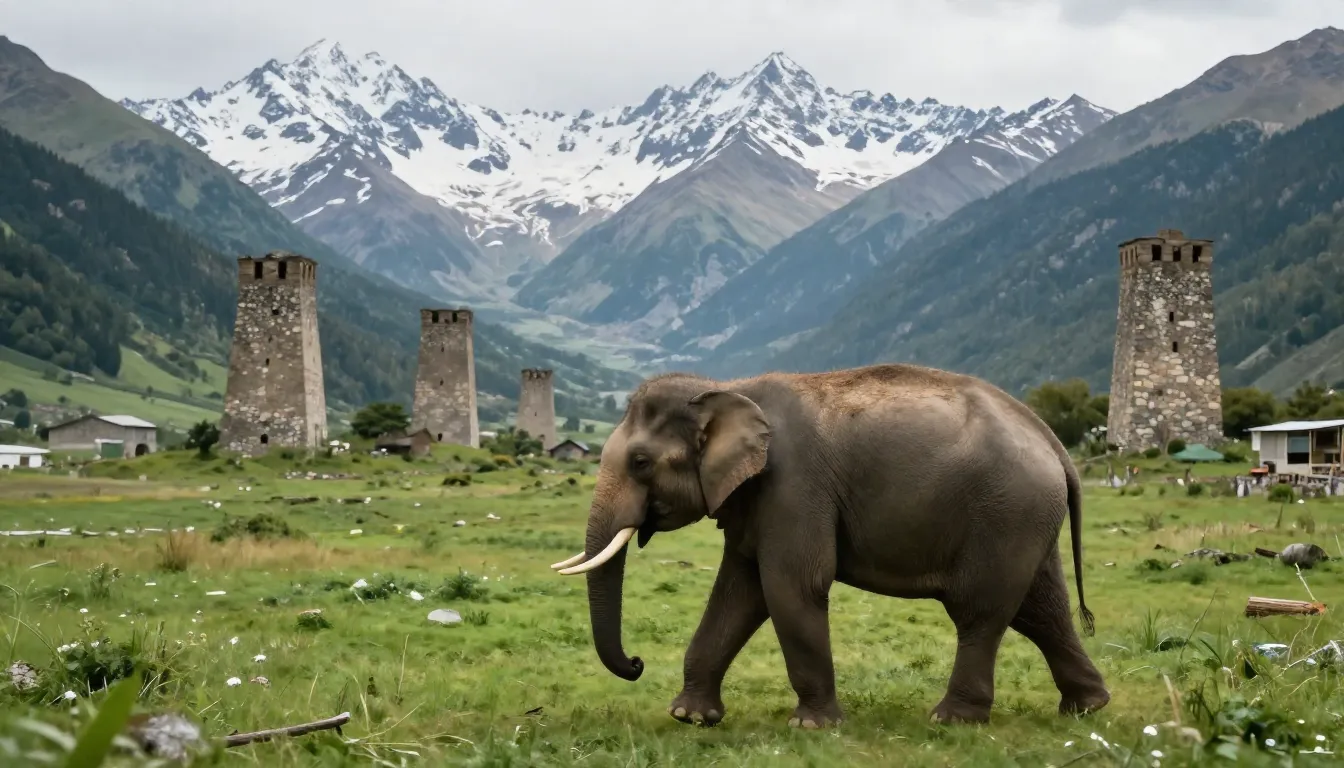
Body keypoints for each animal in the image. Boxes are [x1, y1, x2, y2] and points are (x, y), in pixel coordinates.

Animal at [551, 363, 1111, 729]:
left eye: (641, 462)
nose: (637, 663)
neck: (728, 388)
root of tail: (1051, 439)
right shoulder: (759, 500)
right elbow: (739, 590)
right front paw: (691, 717)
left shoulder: (793, 485)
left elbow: (790, 585)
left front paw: (813, 727)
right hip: (1026, 520)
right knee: (1041, 609)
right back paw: (1087, 708)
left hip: (1005, 514)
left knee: (979, 611)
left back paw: (951, 721)